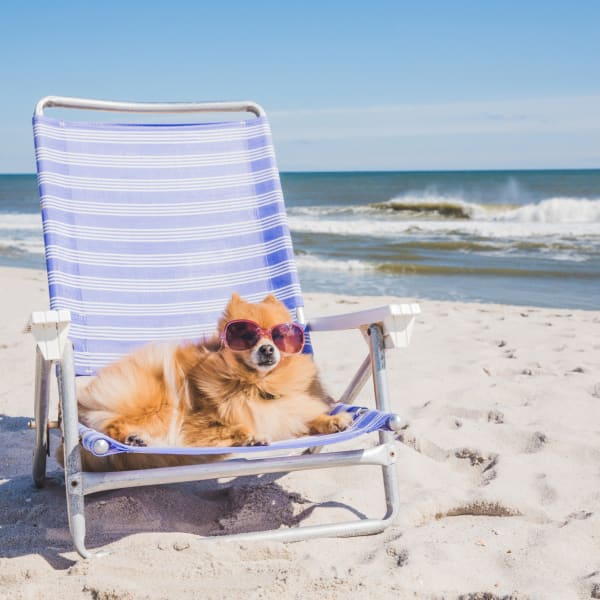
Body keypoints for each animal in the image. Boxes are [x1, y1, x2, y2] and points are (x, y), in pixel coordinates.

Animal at [74, 292, 352, 472]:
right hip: (155, 403)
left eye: (280, 336)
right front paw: (250, 436)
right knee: (110, 425)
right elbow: (232, 427)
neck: (256, 385)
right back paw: (132, 438)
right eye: (246, 336)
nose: (267, 349)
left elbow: (307, 417)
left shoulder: (288, 412)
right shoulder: (196, 424)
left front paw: (333, 420)